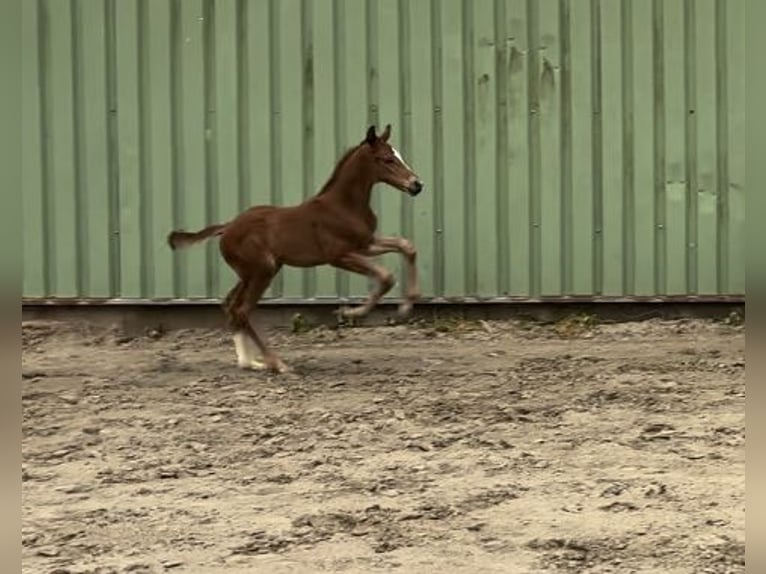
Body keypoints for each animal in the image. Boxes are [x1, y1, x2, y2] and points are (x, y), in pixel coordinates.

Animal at [167, 124, 426, 376]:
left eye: (399, 155)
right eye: (387, 159)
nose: (417, 185)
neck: (344, 205)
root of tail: (227, 227)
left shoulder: (365, 244)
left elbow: (407, 246)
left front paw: (406, 305)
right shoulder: (339, 256)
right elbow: (386, 276)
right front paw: (350, 313)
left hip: (252, 273)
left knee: (230, 305)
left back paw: (249, 362)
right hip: (262, 271)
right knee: (241, 310)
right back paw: (276, 364)